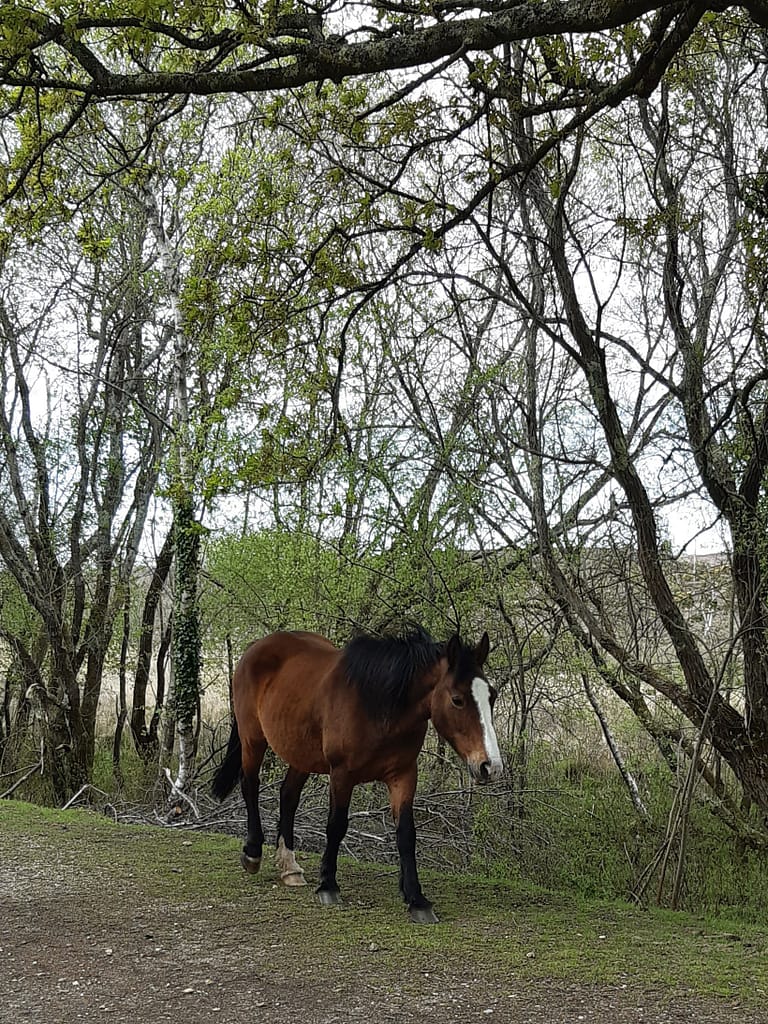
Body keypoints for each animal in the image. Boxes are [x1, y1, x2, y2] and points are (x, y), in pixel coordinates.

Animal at [212, 626, 503, 923]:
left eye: (491, 695)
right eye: (457, 699)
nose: (490, 766)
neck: (379, 705)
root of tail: (257, 647)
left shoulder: (404, 775)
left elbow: (406, 834)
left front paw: (416, 899)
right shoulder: (342, 774)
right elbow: (336, 825)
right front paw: (328, 885)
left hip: (301, 754)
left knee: (288, 796)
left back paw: (290, 867)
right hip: (253, 739)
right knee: (250, 785)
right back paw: (253, 854)